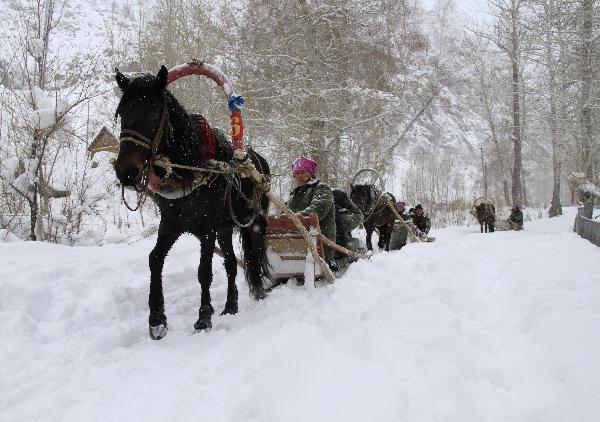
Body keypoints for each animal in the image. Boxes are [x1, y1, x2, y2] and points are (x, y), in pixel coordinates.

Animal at [113, 67, 272, 342]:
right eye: (122, 113)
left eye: (152, 113)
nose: (126, 172)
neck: (191, 167)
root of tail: (257, 158)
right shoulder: (171, 224)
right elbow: (155, 259)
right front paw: (157, 320)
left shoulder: (207, 228)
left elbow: (204, 271)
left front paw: (203, 318)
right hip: (225, 228)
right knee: (231, 263)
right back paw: (231, 306)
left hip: (252, 220)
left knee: (254, 255)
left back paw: (258, 291)